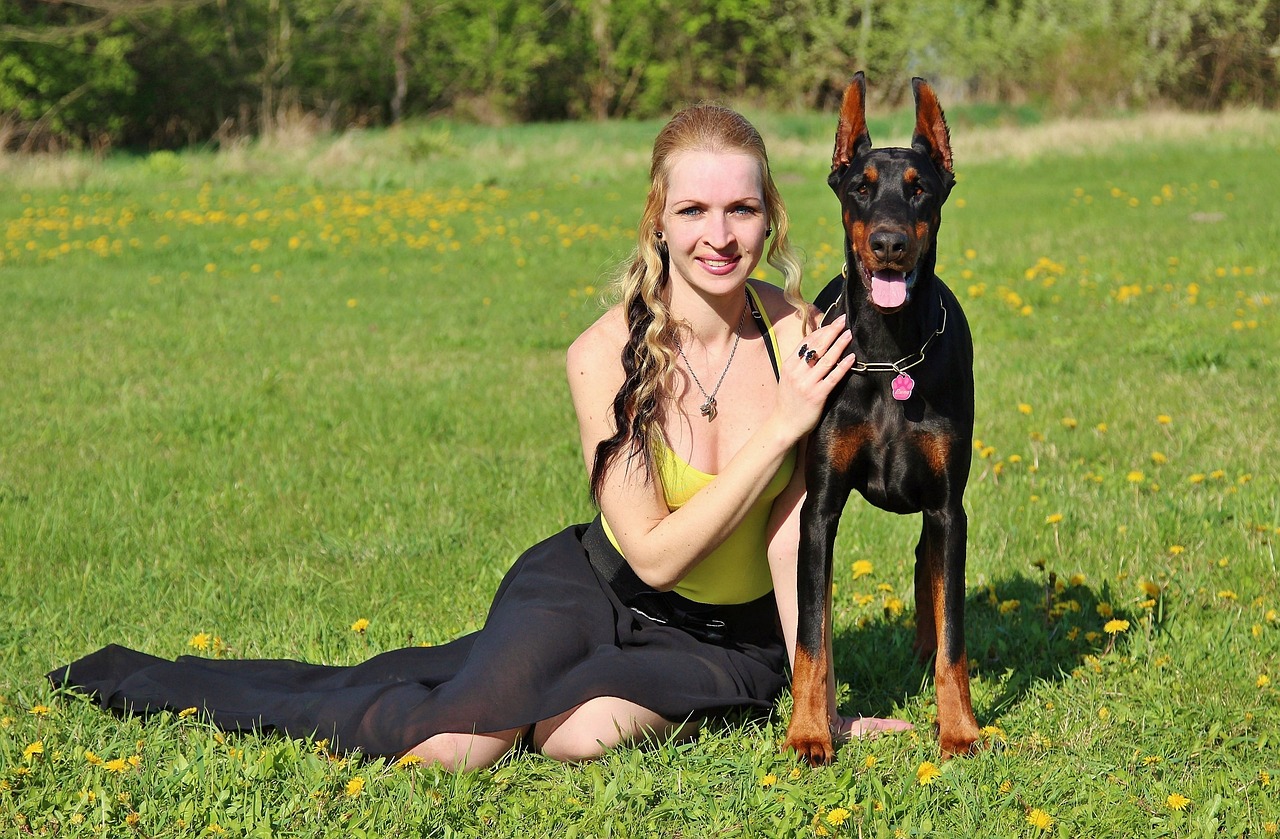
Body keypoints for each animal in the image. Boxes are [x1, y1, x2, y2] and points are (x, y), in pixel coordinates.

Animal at [778, 73, 977, 768]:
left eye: (919, 188)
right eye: (860, 186)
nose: (890, 244)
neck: (892, 355)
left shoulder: (948, 504)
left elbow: (954, 634)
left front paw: (960, 730)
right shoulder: (819, 509)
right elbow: (812, 637)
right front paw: (809, 734)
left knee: (930, 566)